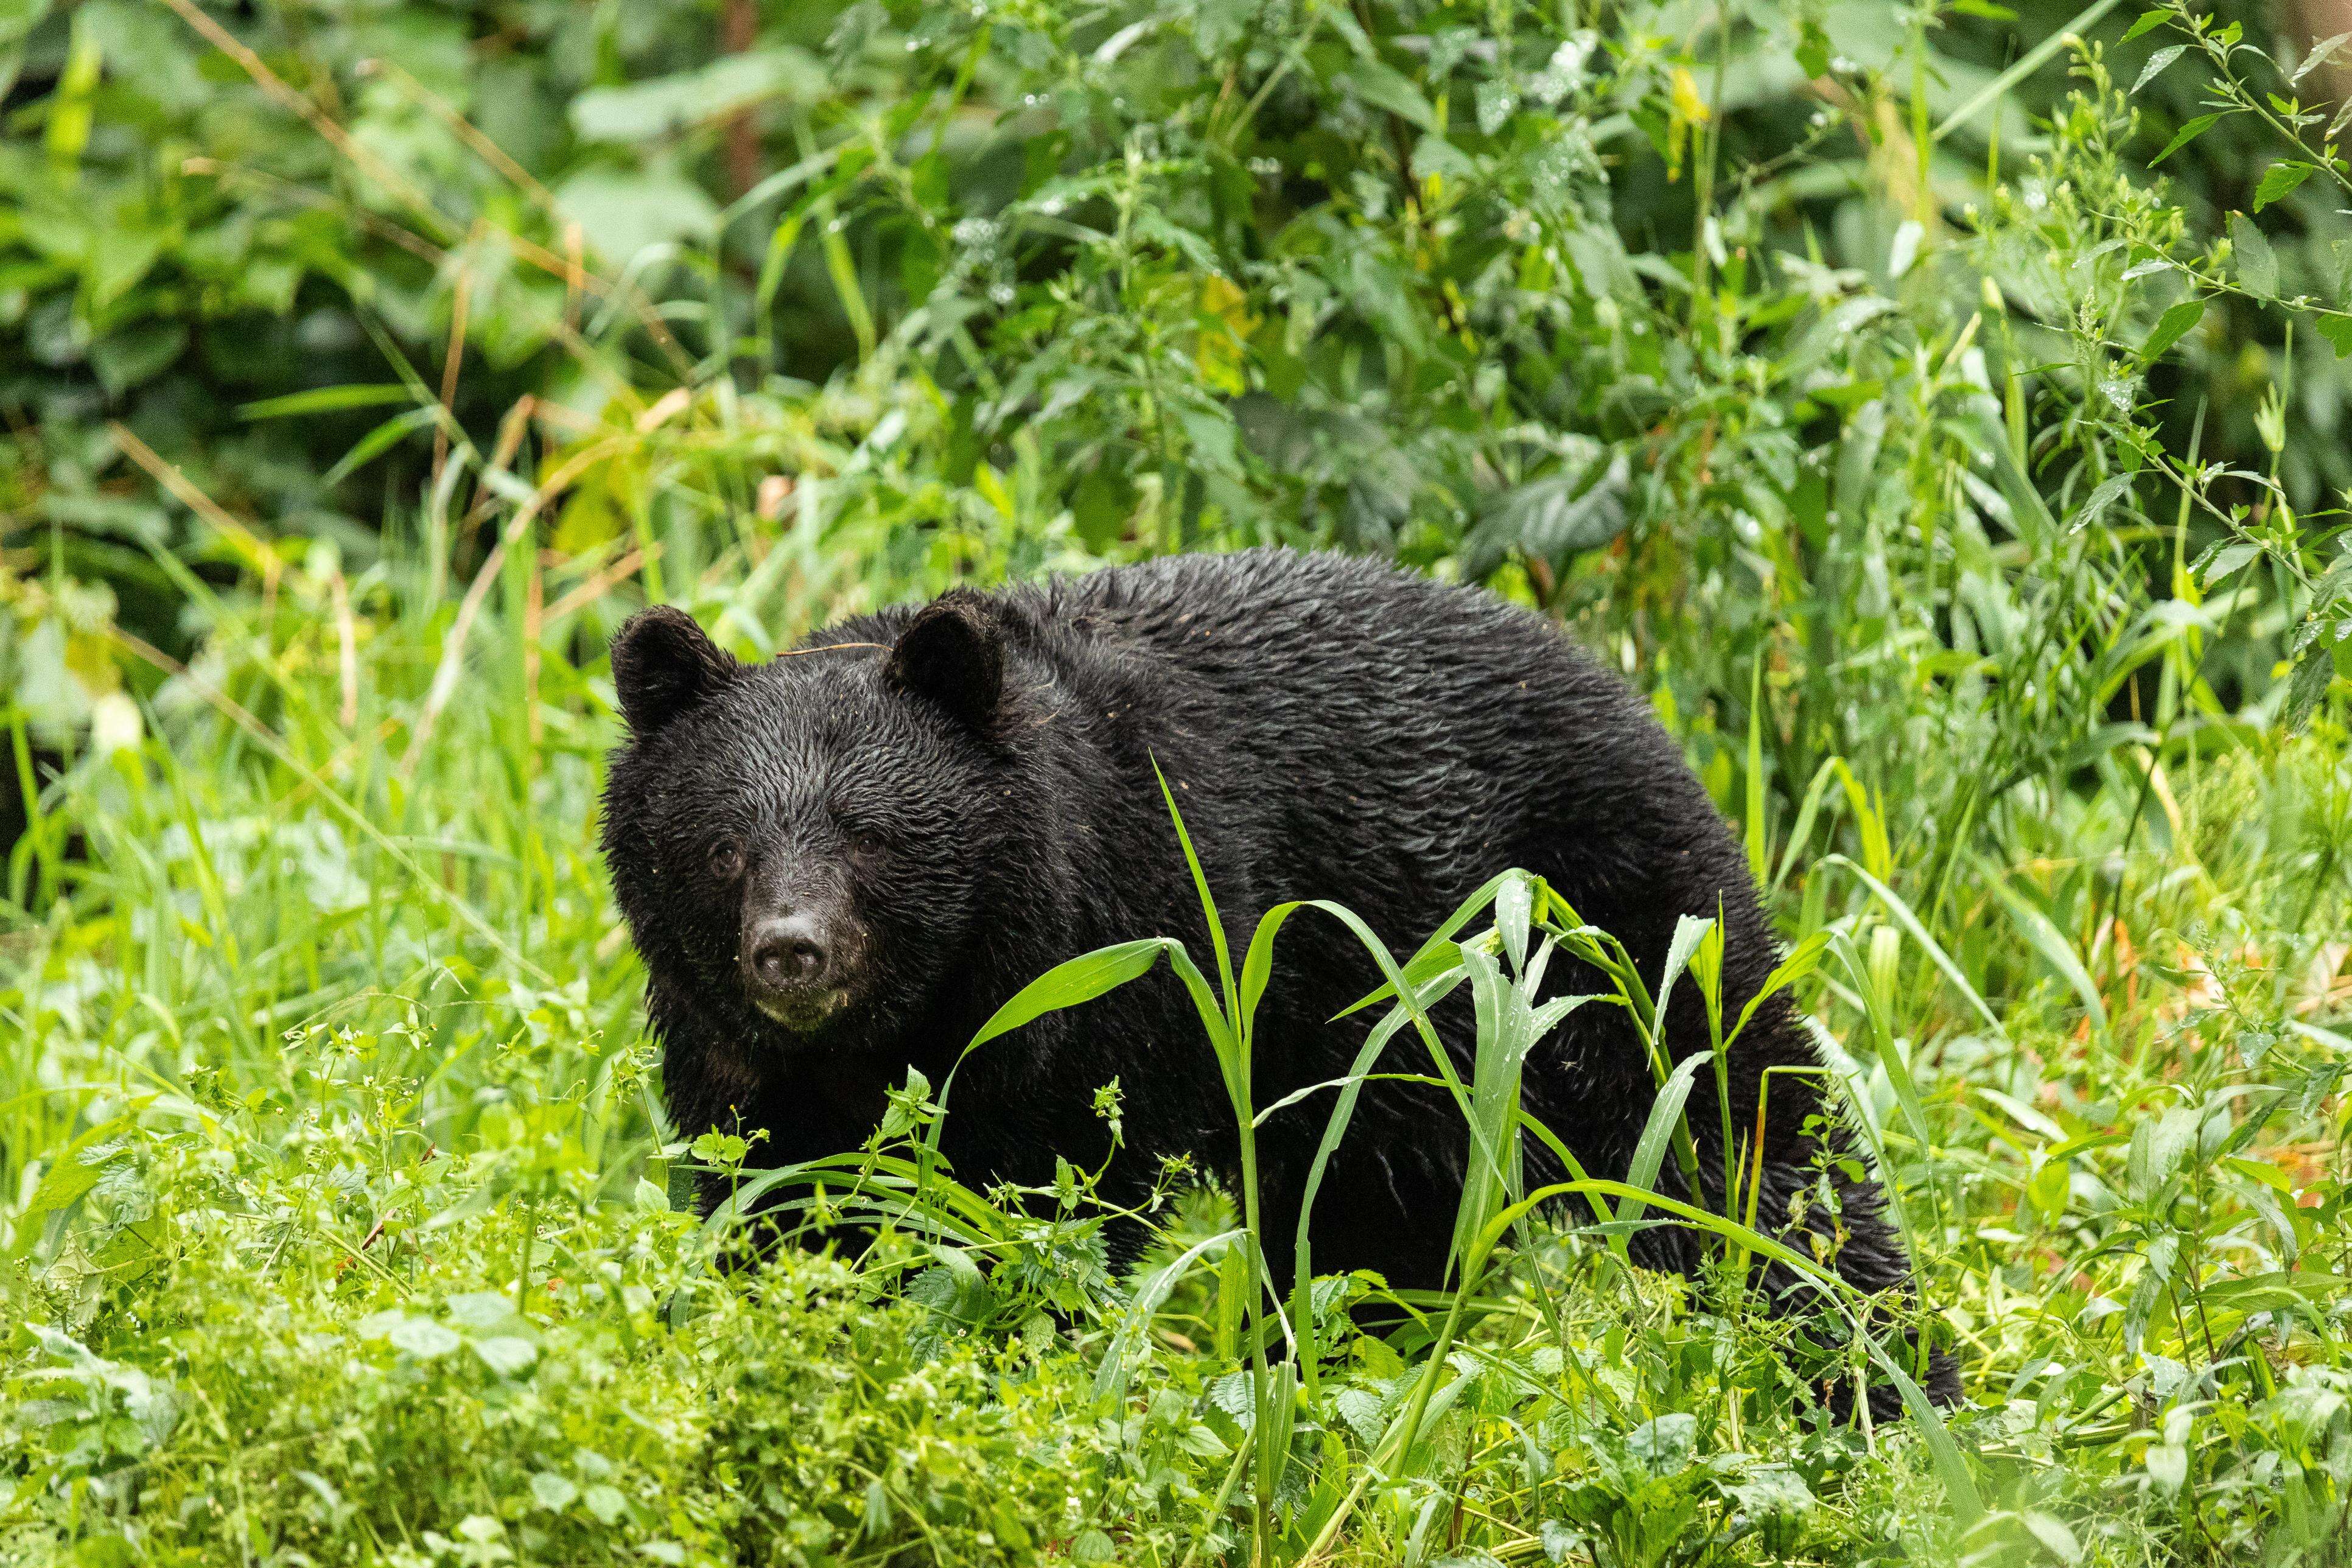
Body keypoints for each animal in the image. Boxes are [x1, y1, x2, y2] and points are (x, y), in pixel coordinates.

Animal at [602, 545, 1947, 1401]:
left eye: (870, 836)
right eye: (723, 845)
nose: (791, 951)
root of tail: (1623, 688)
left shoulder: (1126, 968)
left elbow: (1051, 1203)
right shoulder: (746, 1065)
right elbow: (777, 1200)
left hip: (1605, 929)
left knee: (1749, 1142)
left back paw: (1883, 1388)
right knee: (1371, 1233)